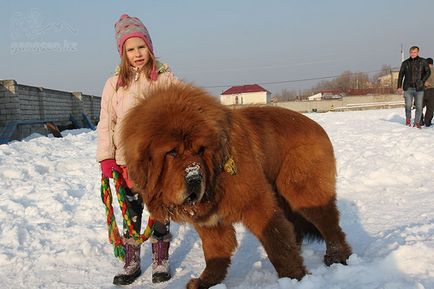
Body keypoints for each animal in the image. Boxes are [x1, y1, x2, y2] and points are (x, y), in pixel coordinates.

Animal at [120, 82, 350, 286]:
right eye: (172, 153)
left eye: (200, 150)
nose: (194, 178)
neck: (216, 175)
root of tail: (316, 125)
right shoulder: (210, 221)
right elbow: (215, 251)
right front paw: (206, 281)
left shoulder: (258, 204)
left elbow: (277, 242)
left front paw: (294, 277)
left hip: (303, 191)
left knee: (329, 224)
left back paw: (337, 256)